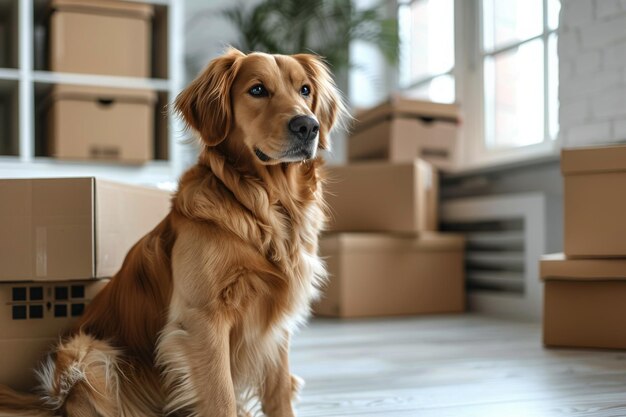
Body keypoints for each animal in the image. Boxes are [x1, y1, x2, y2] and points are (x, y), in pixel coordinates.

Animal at [0, 47, 346, 414]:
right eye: (257, 90)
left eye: (305, 90)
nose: (307, 126)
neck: (266, 208)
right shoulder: (203, 320)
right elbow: (221, 399)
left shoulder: (276, 323)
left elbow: (278, 393)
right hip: (88, 355)